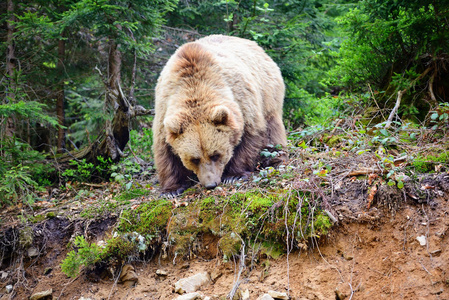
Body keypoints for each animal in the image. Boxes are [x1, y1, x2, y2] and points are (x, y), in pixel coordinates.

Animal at [152, 34, 286, 197]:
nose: (210, 184)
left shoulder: (241, 100)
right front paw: (171, 189)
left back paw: (275, 160)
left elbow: (249, 136)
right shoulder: (164, 108)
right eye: (194, 159)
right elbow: (165, 152)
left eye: (215, 154)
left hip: (268, 92)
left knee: (272, 130)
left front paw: (234, 175)